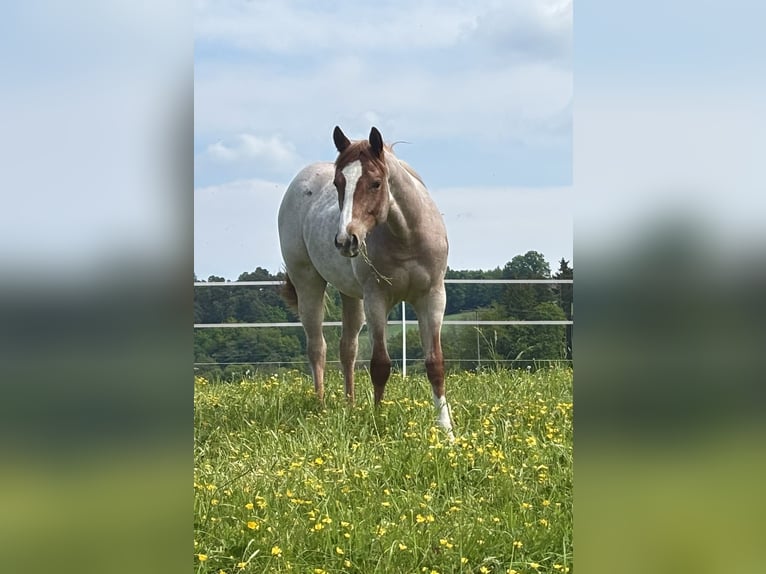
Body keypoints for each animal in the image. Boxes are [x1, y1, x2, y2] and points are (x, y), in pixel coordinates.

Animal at [278, 126, 453, 438]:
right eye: (338, 183)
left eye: (375, 183)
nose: (345, 240)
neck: (407, 237)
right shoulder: (376, 300)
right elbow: (380, 365)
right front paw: (379, 421)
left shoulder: (433, 297)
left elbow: (435, 364)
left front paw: (446, 431)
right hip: (309, 284)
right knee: (317, 347)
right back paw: (321, 406)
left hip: (351, 296)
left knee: (347, 349)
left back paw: (350, 406)